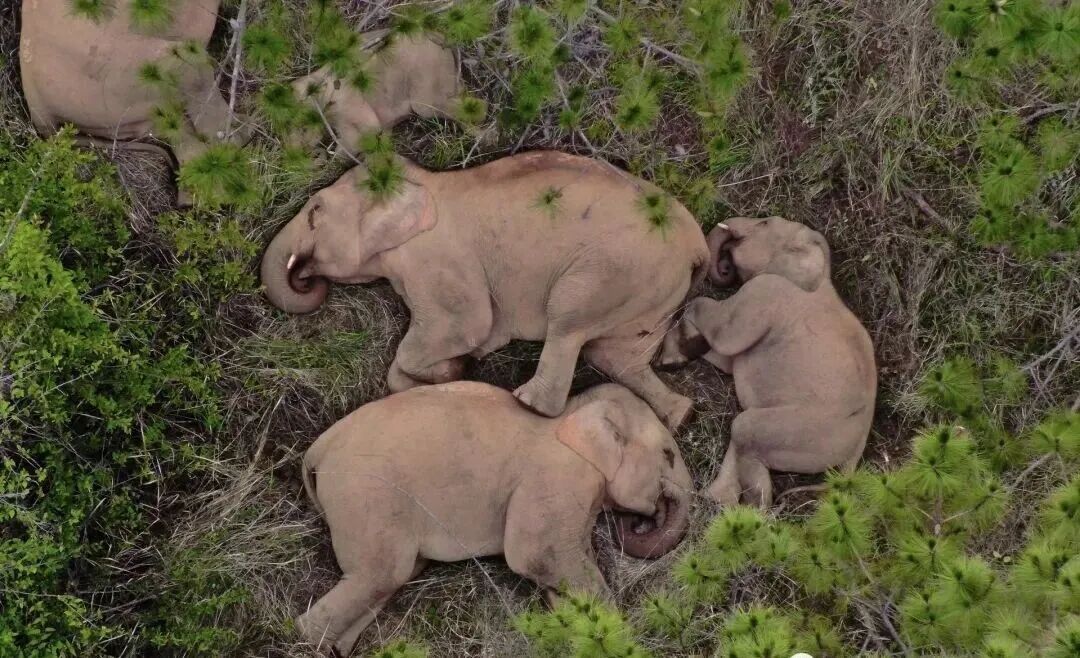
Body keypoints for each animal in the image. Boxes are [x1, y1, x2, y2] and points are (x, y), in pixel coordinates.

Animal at [260, 151, 710, 430]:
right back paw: (681, 415)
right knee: (616, 356)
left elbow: (467, 325)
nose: (306, 275)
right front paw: (450, 372)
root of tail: (698, 247)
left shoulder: (438, 260)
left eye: (315, 212)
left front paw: (454, 367)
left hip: (613, 269)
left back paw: (525, 402)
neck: (424, 182)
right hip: (653, 292)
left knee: (569, 322)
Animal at [296, 381, 694, 655]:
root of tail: (319, 448)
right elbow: (535, 555)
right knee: (382, 574)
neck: (575, 412)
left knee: (387, 578)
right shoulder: (556, 476)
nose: (642, 519)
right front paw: (618, 636)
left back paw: (334, 648)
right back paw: (303, 638)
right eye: (668, 454)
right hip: (365, 494)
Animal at [659, 216, 877, 507]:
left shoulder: (765, 292)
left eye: (763, 223)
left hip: (804, 431)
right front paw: (683, 352)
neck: (822, 275)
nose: (725, 265)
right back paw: (715, 500)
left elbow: (721, 330)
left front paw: (670, 358)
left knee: (744, 430)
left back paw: (751, 508)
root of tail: (856, 451)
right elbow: (727, 358)